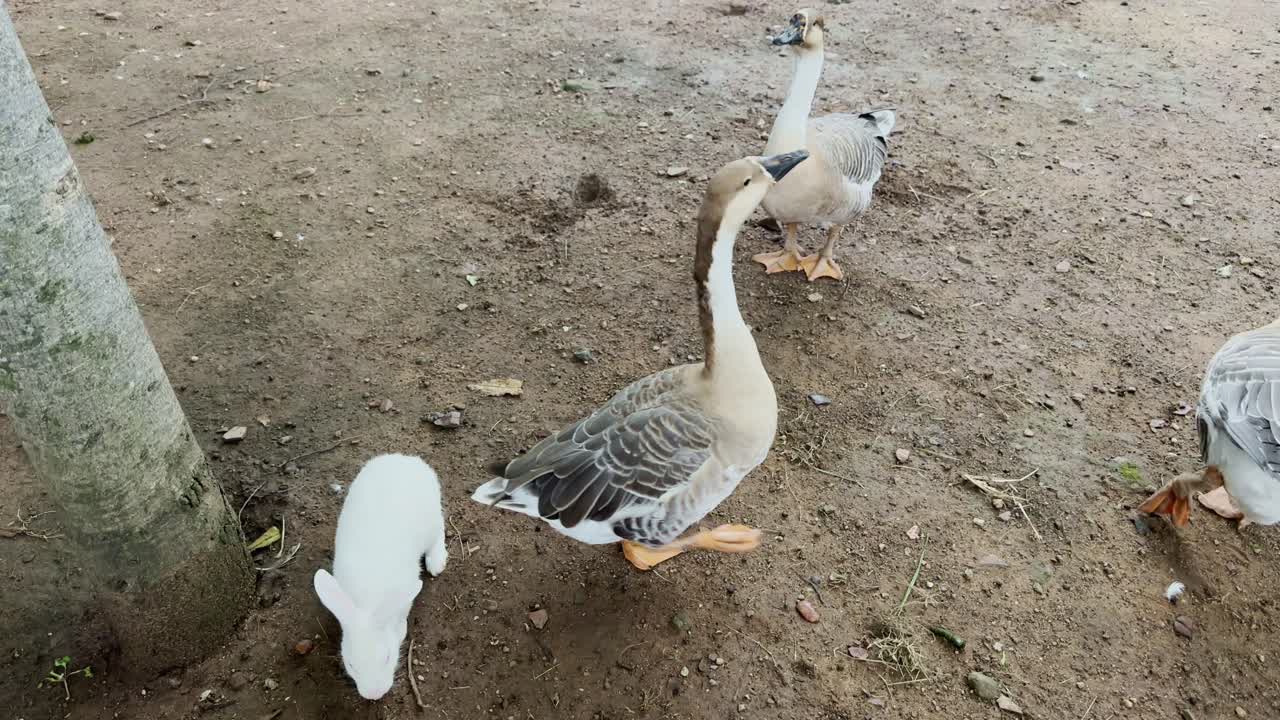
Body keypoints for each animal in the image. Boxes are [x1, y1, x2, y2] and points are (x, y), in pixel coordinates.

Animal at [313, 453, 448, 700]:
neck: (367, 603)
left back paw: (436, 561)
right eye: (351, 664)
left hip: (432, 520)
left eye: (386, 657)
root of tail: (406, 460)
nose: (374, 695)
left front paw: (401, 630)